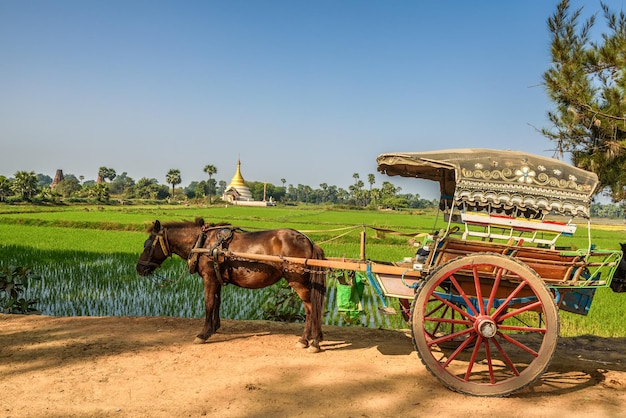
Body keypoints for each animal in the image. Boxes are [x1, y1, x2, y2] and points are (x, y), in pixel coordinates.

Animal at [134, 219, 324, 352]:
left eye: (148, 245)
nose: (139, 268)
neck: (202, 243)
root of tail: (308, 241)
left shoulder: (209, 278)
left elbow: (209, 304)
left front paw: (203, 334)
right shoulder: (216, 279)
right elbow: (217, 303)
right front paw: (214, 328)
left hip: (297, 281)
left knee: (311, 308)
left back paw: (309, 341)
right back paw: (314, 338)